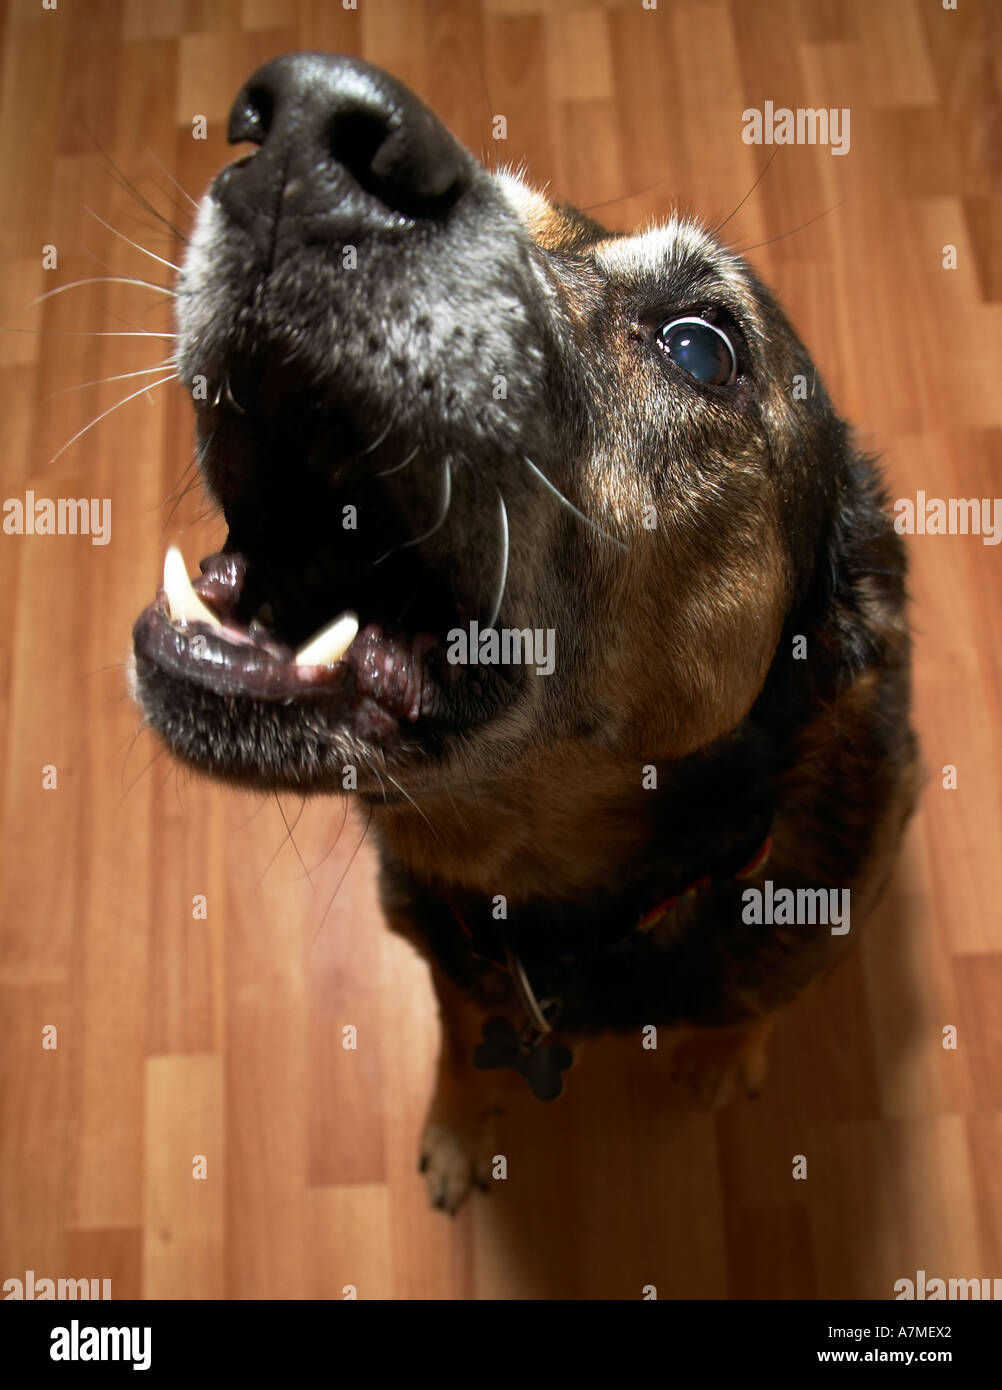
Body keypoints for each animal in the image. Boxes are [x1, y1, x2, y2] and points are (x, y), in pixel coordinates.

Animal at [129, 51, 917, 1206]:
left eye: (700, 348)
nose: (304, 123)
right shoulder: (453, 971)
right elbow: (463, 1044)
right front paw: (459, 1129)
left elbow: (756, 1005)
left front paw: (724, 1058)